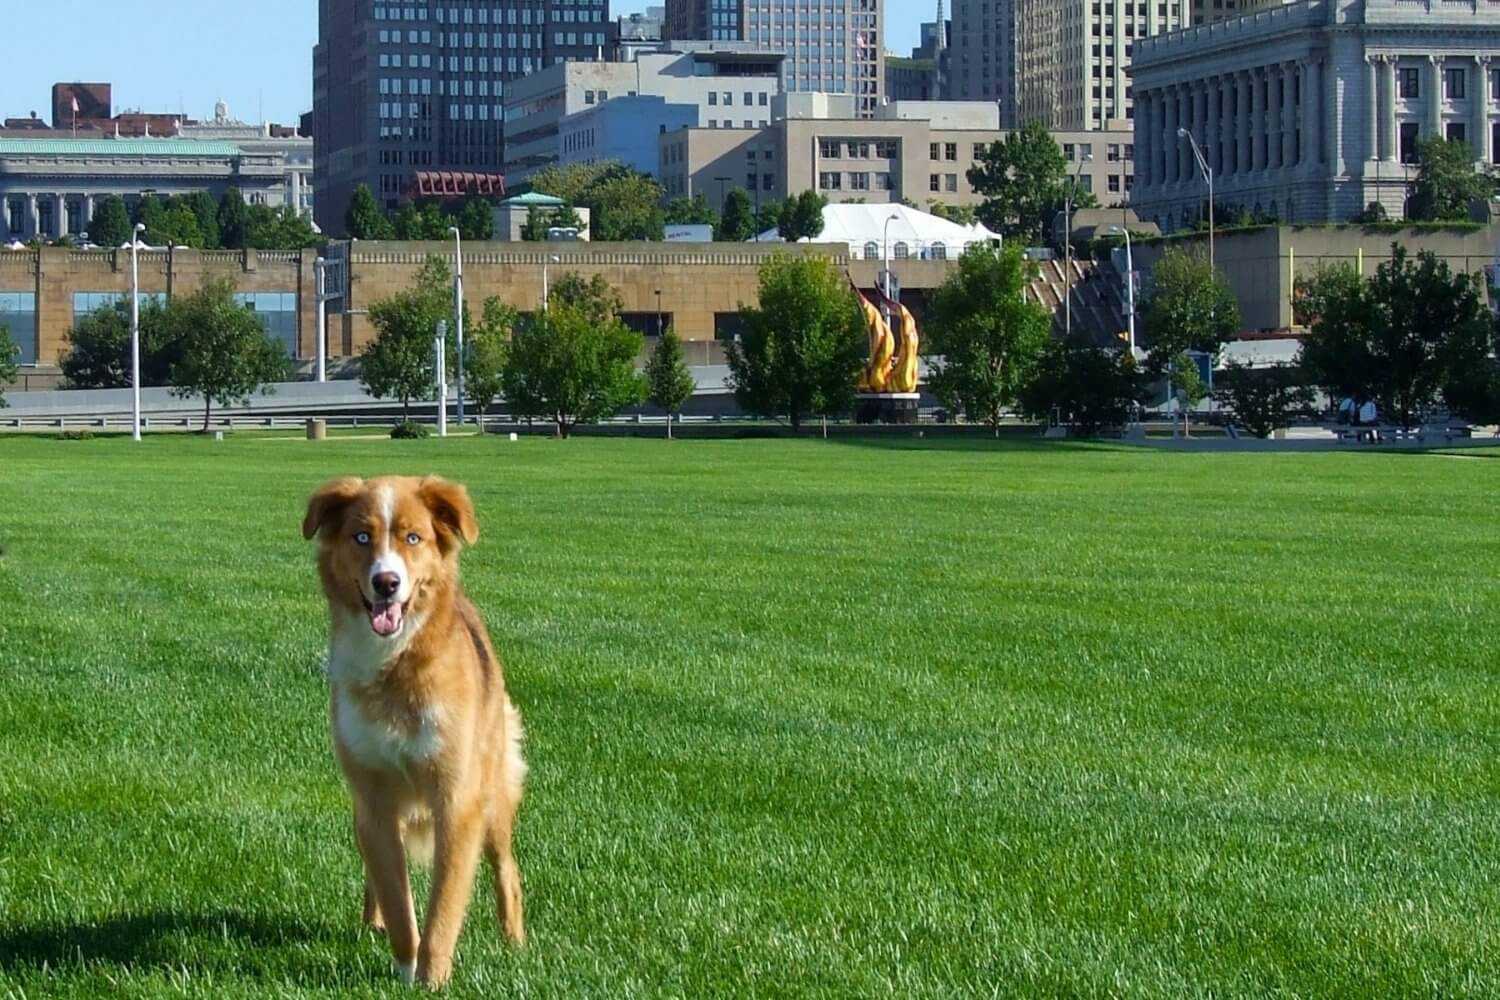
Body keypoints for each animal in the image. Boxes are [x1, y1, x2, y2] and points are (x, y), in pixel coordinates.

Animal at [300, 476, 528, 983]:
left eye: (413, 538)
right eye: (361, 536)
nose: (386, 582)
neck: (395, 664)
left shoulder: (457, 800)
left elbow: (444, 904)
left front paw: (431, 978)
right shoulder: (374, 800)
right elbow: (398, 896)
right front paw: (406, 966)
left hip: (494, 794)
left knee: (507, 870)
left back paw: (515, 943)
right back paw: (372, 922)